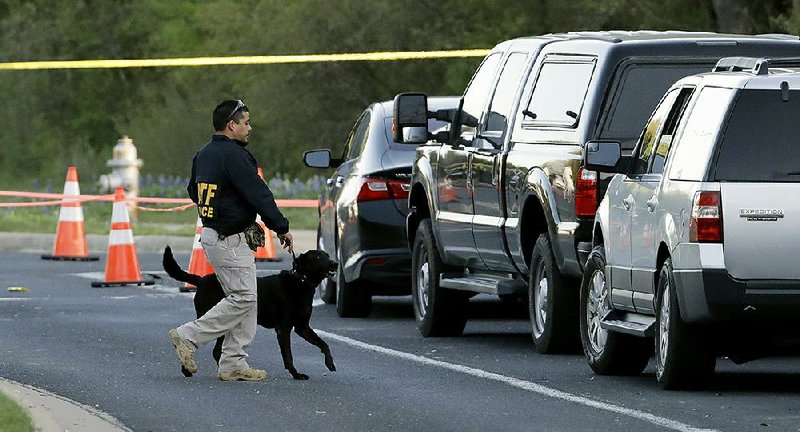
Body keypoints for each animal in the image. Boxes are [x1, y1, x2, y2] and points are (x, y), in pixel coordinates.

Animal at [162, 245, 338, 380]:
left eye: (328, 255)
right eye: (317, 257)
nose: (335, 264)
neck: (301, 282)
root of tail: (200, 280)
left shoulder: (302, 328)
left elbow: (324, 344)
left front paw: (330, 363)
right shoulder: (283, 329)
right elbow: (288, 356)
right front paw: (296, 374)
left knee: (216, 351)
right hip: (213, 318)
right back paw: (187, 368)